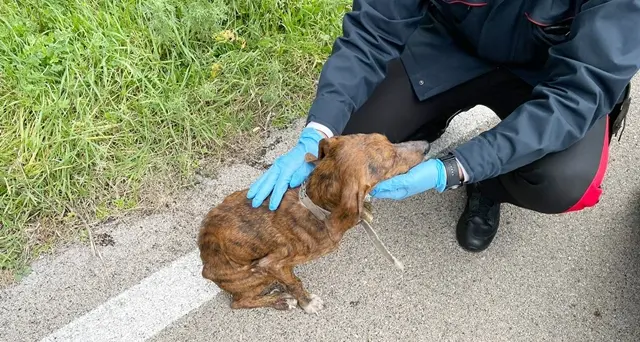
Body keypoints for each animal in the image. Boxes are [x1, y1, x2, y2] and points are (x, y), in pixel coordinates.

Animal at [198, 133, 430, 312]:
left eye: (389, 140)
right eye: (391, 160)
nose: (426, 145)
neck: (315, 205)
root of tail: (205, 266)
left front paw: (365, 209)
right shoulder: (272, 264)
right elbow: (294, 284)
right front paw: (306, 302)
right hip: (255, 274)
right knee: (238, 302)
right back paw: (280, 300)